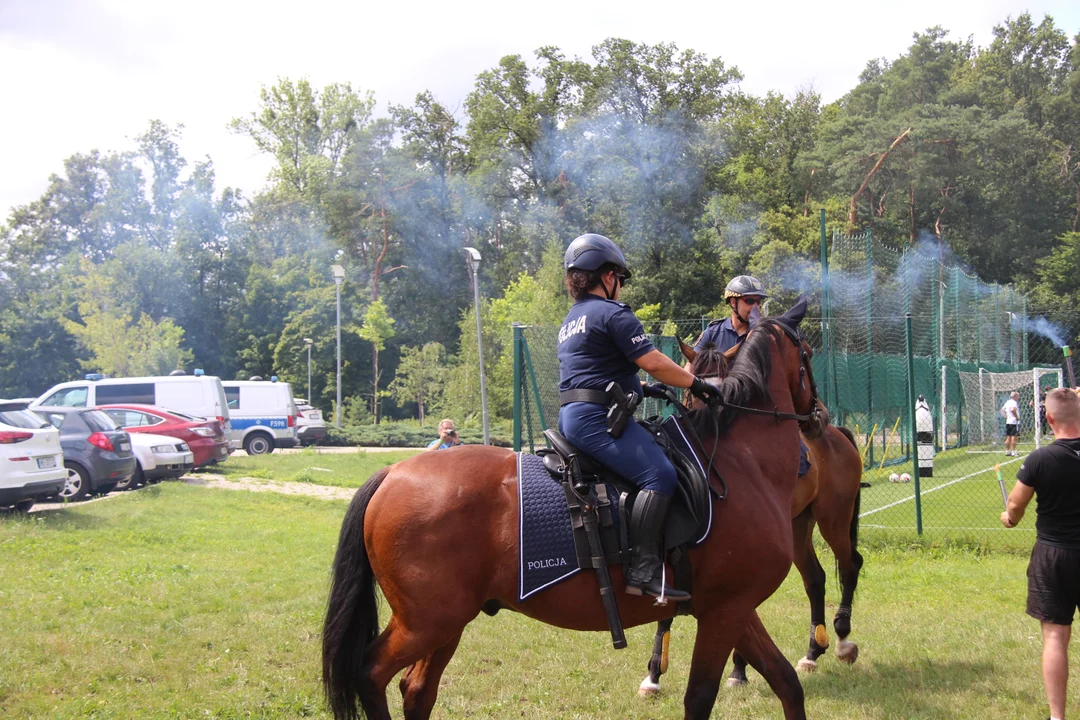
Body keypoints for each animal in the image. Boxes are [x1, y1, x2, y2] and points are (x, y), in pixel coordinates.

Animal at [324, 304, 820, 720]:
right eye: (809, 354)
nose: (819, 415)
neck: (737, 464)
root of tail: (393, 472)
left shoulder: (732, 608)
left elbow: (786, 682)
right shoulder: (724, 611)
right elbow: (700, 698)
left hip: (445, 624)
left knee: (417, 690)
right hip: (425, 623)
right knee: (371, 674)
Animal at [635, 338, 864, 699]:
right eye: (693, 392)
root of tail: (836, 433)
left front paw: (738, 668)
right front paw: (654, 675)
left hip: (834, 520)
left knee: (851, 564)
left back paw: (842, 641)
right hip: (799, 526)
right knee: (815, 578)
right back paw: (813, 651)